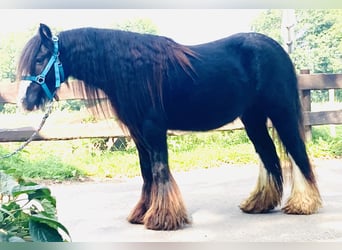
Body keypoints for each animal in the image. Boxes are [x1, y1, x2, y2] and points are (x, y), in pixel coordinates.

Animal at [16, 23, 320, 230]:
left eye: (40, 59)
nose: (24, 102)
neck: (132, 68)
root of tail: (275, 47)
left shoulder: (153, 129)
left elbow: (160, 170)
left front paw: (162, 218)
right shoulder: (138, 134)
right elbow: (147, 173)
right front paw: (142, 213)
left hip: (281, 112)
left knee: (297, 152)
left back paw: (303, 204)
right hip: (253, 119)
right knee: (268, 155)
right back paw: (259, 203)